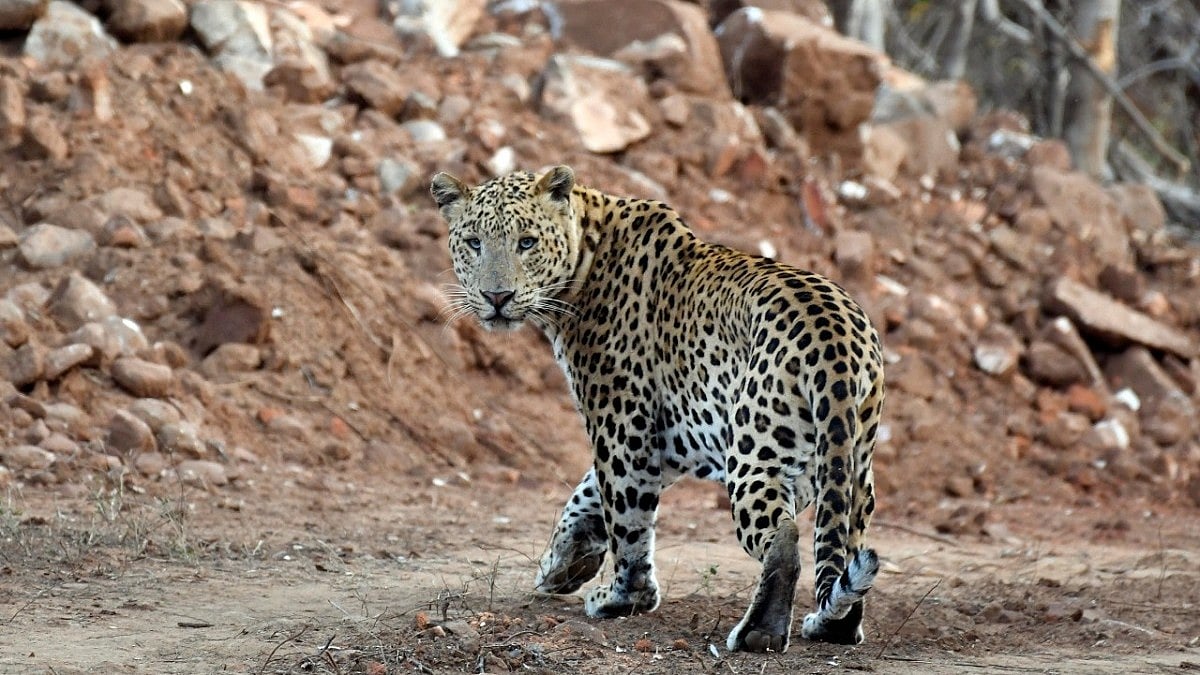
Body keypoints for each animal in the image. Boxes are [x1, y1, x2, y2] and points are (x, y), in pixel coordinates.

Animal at [430, 166, 884, 652]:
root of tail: (834, 342)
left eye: (527, 242)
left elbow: (623, 512)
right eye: (474, 242)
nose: (497, 296)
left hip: (756, 452)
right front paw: (562, 564)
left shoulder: (621, 423)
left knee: (781, 537)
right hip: (852, 464)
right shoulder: (669, 442)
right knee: (844, 543)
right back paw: (833, 626)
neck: (586, 256)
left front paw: (621, 598)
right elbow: (586, 496)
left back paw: (758, 633)